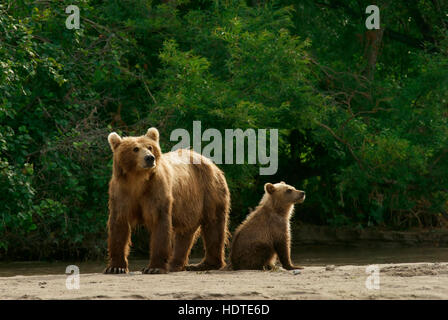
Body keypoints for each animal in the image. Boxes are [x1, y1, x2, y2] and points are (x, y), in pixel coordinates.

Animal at [104, 127, 229, 276]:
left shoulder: (156, 191)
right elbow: (119, 225)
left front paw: (153, 267)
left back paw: (203, 264)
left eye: (150, 147)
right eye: (135, 149)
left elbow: (160, 225)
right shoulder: (121, 194)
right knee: (185, 233)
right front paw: (115, 267)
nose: (149, 158)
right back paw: (175, 264)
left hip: (209, 190)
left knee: (213, 225)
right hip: (189, 205)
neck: (138, 180)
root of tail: (210, 162)